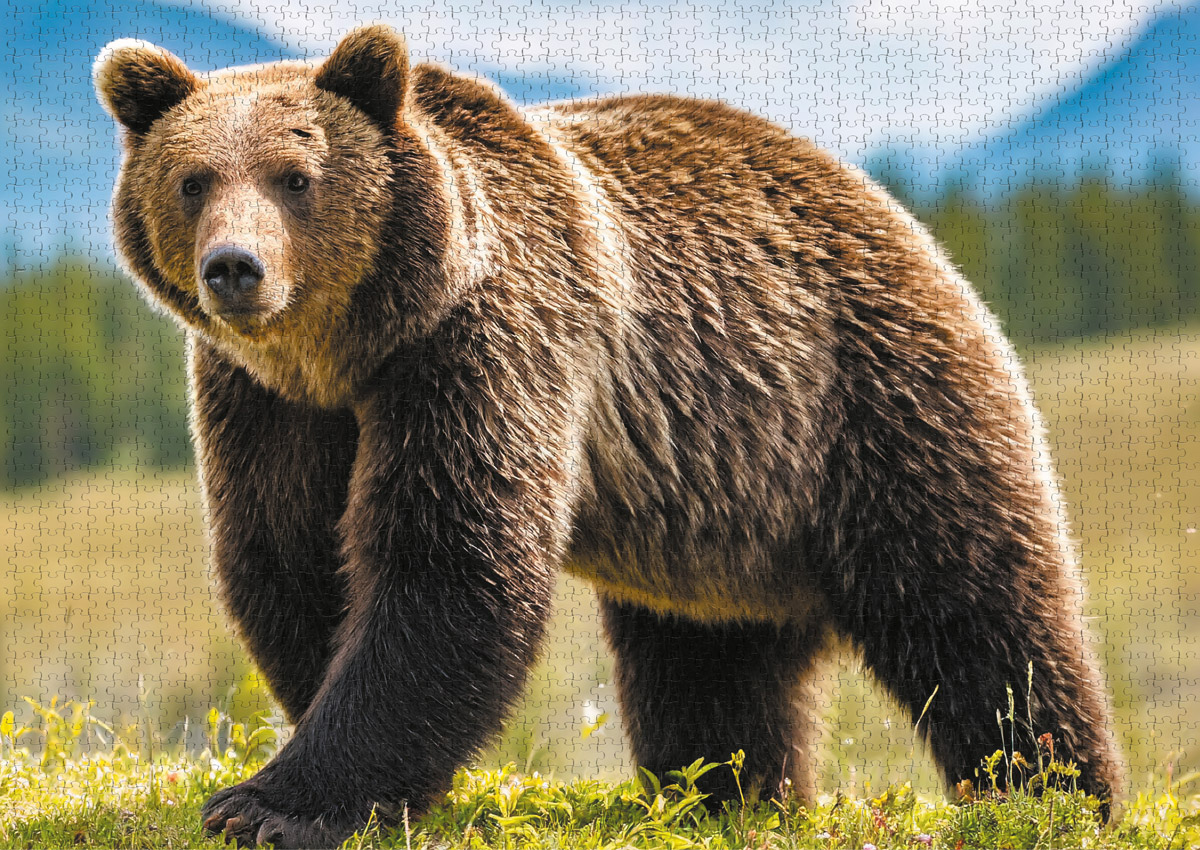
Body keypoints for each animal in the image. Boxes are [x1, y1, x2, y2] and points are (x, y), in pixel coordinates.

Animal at [94, 25, 1124, 848]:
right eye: (192, 180)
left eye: (296, 177)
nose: (236, 268)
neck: (353, 347)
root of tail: (907, 222)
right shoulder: (266, 400)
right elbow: (289, 554)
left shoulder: (489, 341)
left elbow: (450, 562)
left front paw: (272, 803)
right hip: (721, 509)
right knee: (711, 669)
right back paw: (732, 796)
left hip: (873, 405)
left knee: (982, 616)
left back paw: (1054, 797)